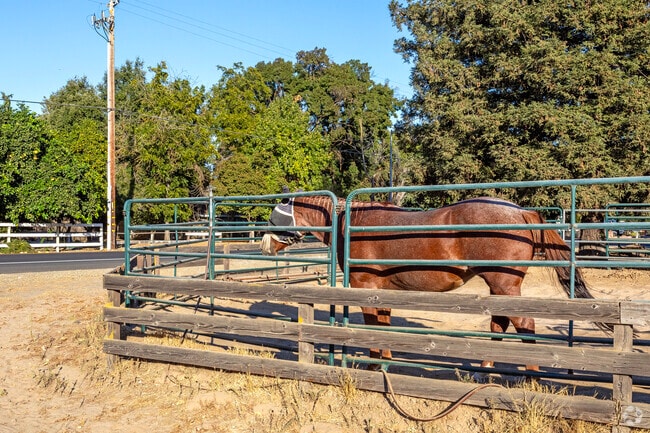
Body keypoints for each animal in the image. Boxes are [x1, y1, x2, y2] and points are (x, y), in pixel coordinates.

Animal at [260, 194, 604, 372]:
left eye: (275, 216)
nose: (264, 244)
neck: (352, 224)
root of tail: (521, 212)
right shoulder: (382, 292)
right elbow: (384, 325)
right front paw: (385, 363)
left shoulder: (365, 288)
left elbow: (373, 327)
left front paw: (374, 365)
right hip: (498, 287)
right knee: (500, 324)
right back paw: (485, 369)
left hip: (504, 285)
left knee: (524, 324)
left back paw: (529, 375)